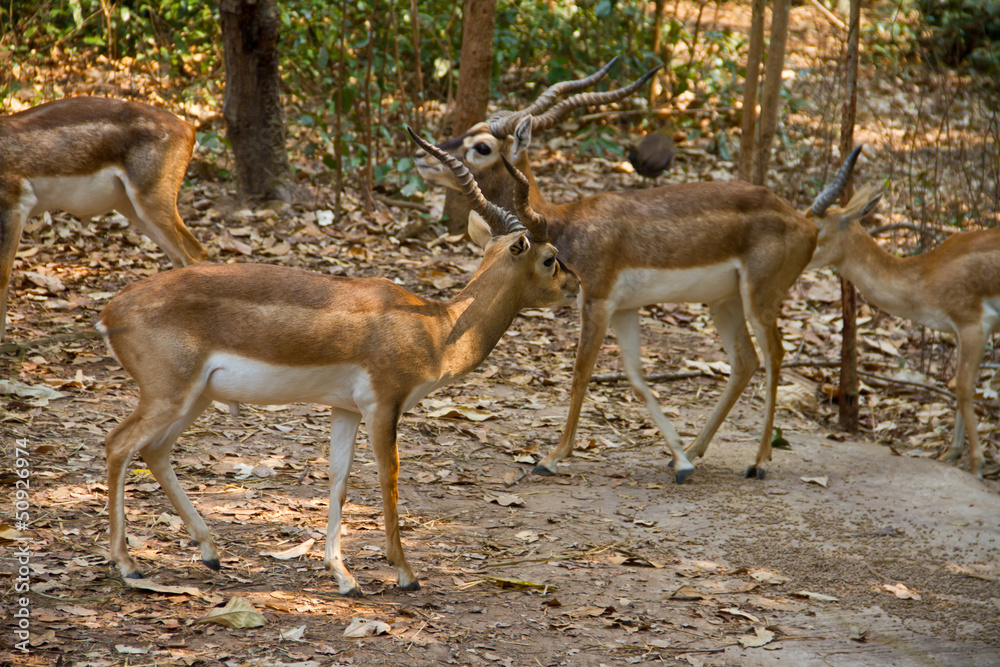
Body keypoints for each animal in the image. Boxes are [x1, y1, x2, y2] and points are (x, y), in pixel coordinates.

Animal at [0, 96, 207, 341]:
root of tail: (188, 127)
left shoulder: (14, 205)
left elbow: (3, 273)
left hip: (152, 201)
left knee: (194, 253)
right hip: (131, 206)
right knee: (178, 256)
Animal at [96, 127, 579, 596]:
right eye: (550, 259)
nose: (575, 284)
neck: (437, 327)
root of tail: (111, 311)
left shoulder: (344, 409)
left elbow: (339, 481)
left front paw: (344, 576)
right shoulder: (383, 406)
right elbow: (388, 480)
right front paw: (405, 573)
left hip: (194, 397)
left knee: (155, 451)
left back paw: (210, 552)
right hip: (168, 395)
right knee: (119, 444)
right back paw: (129, 566)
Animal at [413, 65, 869, 483]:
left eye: (483, 146)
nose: (421, 154)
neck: (565, 222)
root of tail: (806, 222)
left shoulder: (597, 302)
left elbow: (580, 374)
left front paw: (551, 457)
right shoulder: (624, 310)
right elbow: (635, 377)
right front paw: (680, 462)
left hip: (760, 298)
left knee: (774, 357)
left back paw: (758, 462)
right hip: (724, 302)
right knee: (746, 361)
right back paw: (694, 451)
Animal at [807, 146, 997, 479]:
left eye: (817, 230)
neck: (926, 274)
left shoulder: (974, 325)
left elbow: (963, 387)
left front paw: (976, 465)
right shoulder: (961, 332)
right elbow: (961, 387)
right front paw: (950, 454)